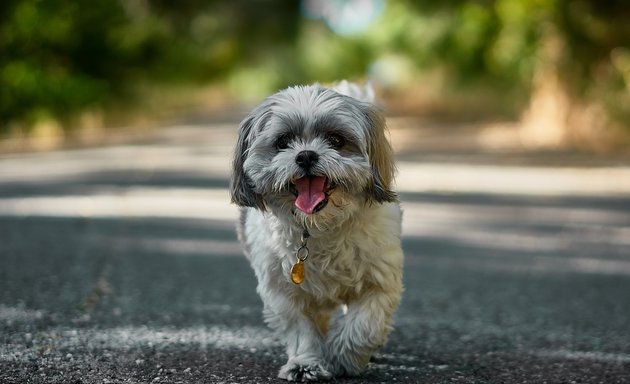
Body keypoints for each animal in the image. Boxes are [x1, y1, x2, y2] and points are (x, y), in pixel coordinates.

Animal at [232, 81, 404, 380]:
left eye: (336, 140)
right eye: (283, 142)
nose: (306, 155)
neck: (318, 228)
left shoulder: (379, 282)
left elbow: (364, 325)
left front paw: (344, 357)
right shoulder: (283, 292)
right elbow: (301, 330)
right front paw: (305, 364)